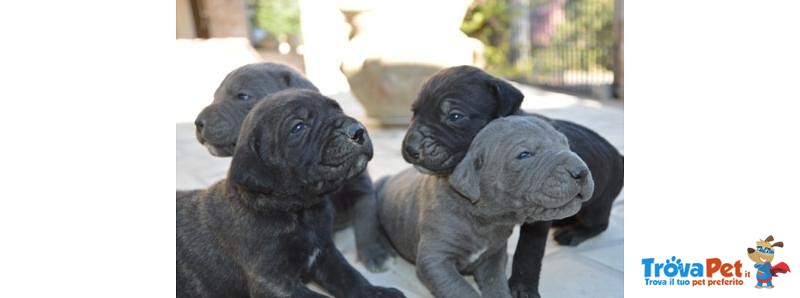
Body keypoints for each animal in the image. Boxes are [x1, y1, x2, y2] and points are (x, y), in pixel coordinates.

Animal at [181, 89, 406, 298]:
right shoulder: (272, 281)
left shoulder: (325, 253)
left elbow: (350, 277)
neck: (300, 212)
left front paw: (378, 292)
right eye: (298, 127)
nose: (358, 131)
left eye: (337, 109)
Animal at [192, 61, 390, 268]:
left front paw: (373, 253)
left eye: (243, 96)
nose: (198, 122)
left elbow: (366, 223)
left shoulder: (361, 188)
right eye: (215, 97)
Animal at [376, 116, 592, 298]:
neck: (486, 219)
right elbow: (461, 290)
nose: (582, 171)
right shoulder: (436, 260)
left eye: (565, 144)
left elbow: (496, 284)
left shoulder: (495, 256)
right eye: (524, 155)